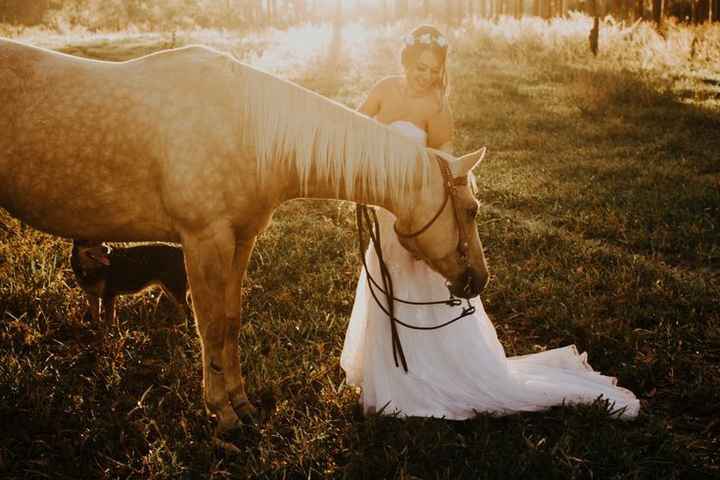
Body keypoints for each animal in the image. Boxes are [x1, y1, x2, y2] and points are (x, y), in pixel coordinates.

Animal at [0, 37, 490, 436]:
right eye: (471, 209)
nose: (479, 281)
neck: (248, 130)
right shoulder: (203, 241)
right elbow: (211, 326)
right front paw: (223, 416)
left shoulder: (240, 240)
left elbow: (231, 321)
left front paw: (241, 403)